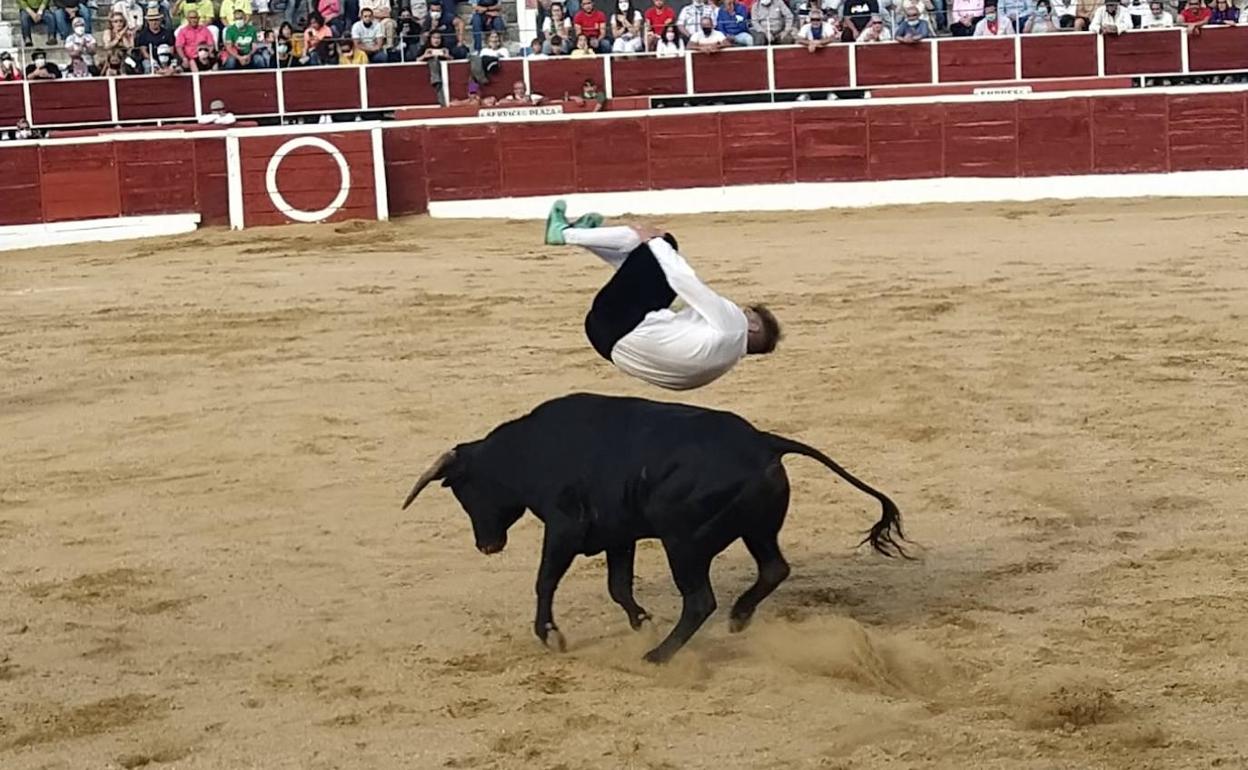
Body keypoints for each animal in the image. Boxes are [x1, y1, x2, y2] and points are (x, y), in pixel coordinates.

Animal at [404, 394, 903, 663]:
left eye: (462, 491)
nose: (486, 545)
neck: (527, 451)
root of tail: (765, 441)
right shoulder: (618, 536)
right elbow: (618, 585)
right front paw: (640, 620)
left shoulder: (564, 529)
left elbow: (545, 580)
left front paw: (550, 634)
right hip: (757, 529)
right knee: (773, 569)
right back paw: (738, 618)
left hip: (682, 541)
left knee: (700, 600)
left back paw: (660, 656)